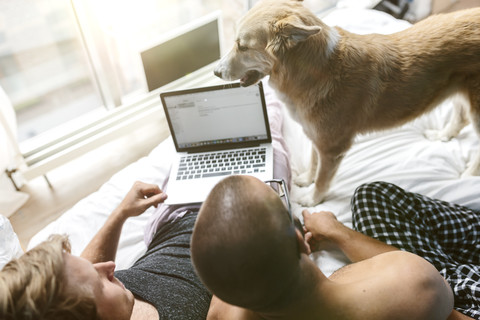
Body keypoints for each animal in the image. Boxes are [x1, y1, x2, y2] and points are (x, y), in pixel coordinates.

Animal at [214, 0, 480, 205]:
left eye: (242, 46)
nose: (215, 72)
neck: (316, 71)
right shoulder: (316, 137)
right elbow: (313, 163)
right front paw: (306, 180)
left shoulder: (332, 148)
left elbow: (323, 179)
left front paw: (312, 199)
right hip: (460, 94)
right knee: (460, 118)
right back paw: (442, 136)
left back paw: (468, 174)